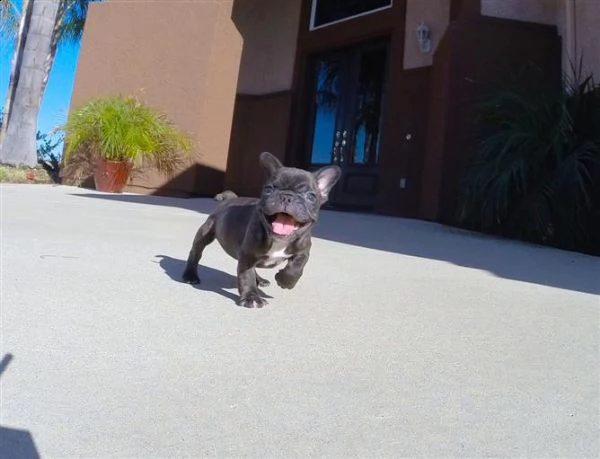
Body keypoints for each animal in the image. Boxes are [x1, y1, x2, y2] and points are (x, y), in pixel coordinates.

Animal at [183, 152, 340, 310]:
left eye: (311, 196)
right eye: (269, 189)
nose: (286, 196)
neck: (279, 240)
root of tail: (229, 199)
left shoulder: (303, 251)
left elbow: (296, 268)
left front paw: (284, 280)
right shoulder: (247, 255)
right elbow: (247, 276)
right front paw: (251, 297)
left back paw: (261, 280)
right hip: (205, 232)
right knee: (195, 252)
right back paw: (190, 276)